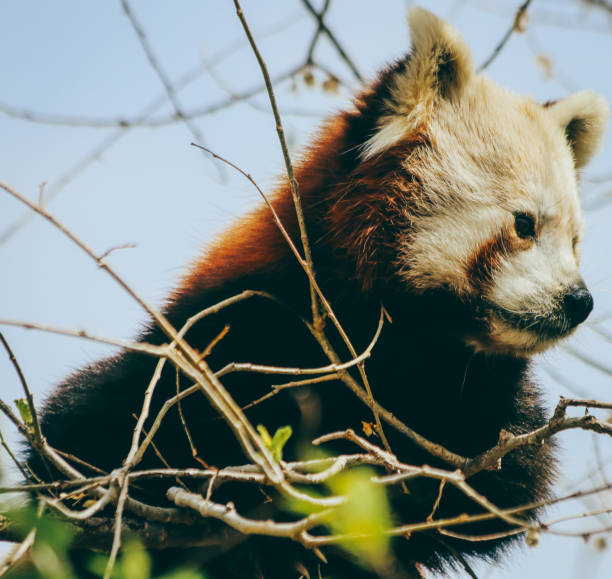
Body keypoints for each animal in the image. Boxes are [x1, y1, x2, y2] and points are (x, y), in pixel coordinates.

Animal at [25, 5, 608, 579]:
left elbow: (501, 488)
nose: (579, 301)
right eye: (524, 224)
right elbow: (80, 435)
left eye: (575, 242)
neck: (401, 344)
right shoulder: (231, 329)